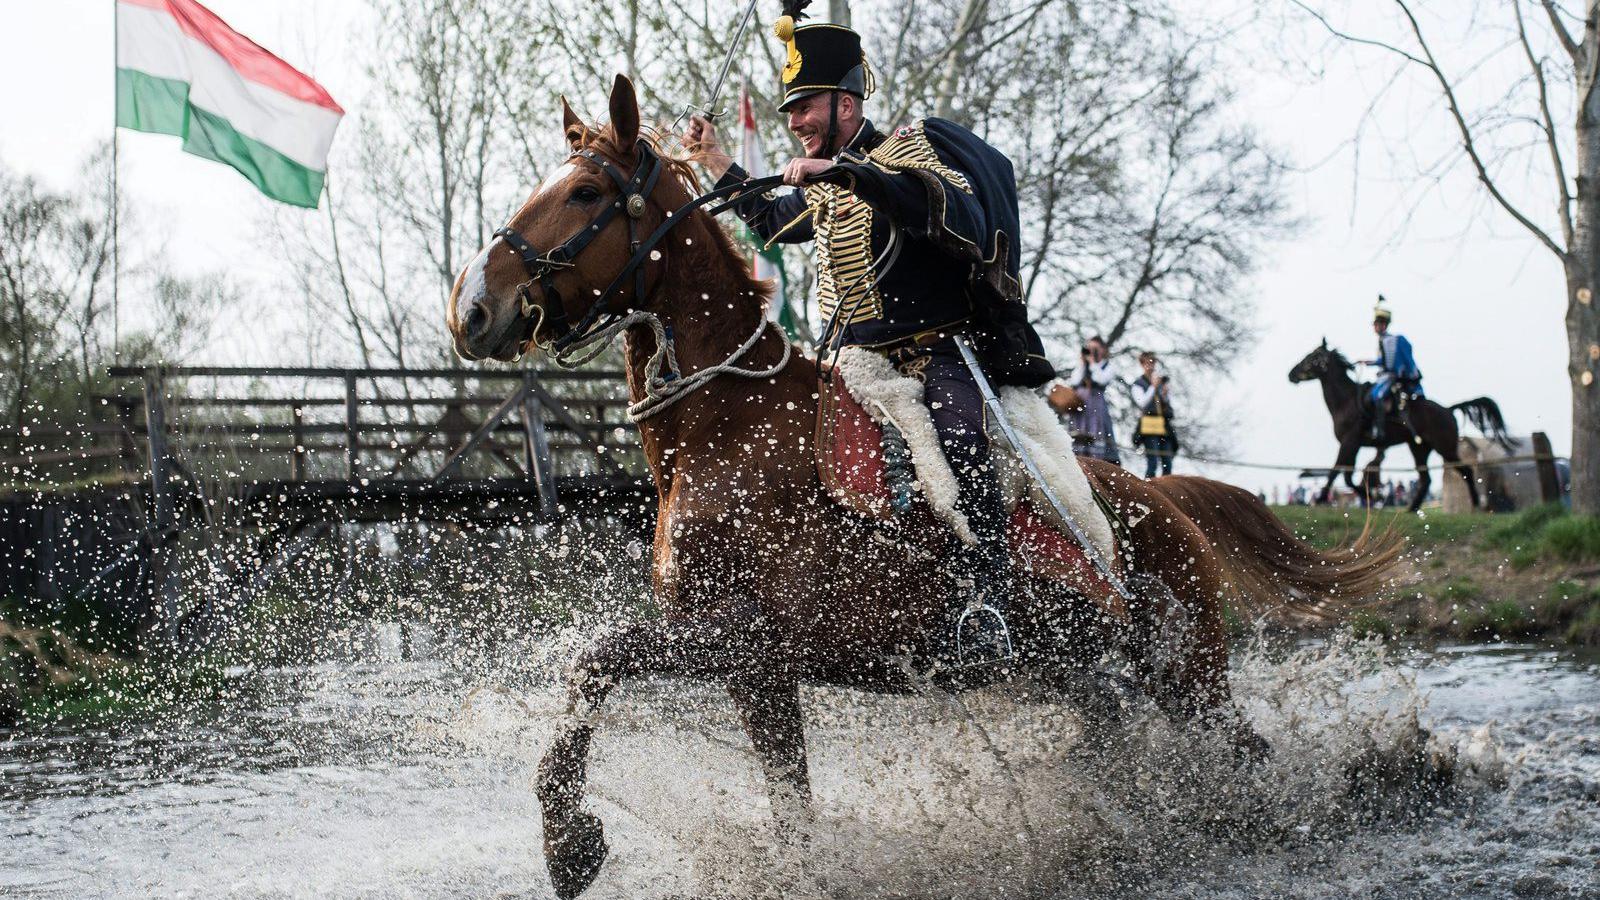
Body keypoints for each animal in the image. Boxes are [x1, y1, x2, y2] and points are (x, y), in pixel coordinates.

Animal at [448, 78, 1401, 896]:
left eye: (583, 193)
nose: (472, 309)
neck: (727, 427)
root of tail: (1167, 501)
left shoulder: (737, 635)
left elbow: (595, 659)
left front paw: (569, 842)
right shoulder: (758, 670)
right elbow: (788, 798)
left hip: (1186, 673)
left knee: (1243, 756)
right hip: (1084, 673)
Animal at [1286, 339, 1510, 512]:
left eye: (1312, 357)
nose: (1291, 374)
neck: (1345, 401)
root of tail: (1448, 410)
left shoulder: (1350, 442)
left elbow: (1337, 471)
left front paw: (1323, 498)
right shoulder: (1353, 445)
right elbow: (1346, 475)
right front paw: (1371, 497)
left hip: (1445, 447)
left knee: (1465, 471)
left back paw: (1475, 504)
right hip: (1419, 448)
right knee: (1426, 479)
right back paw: (1411, 508)